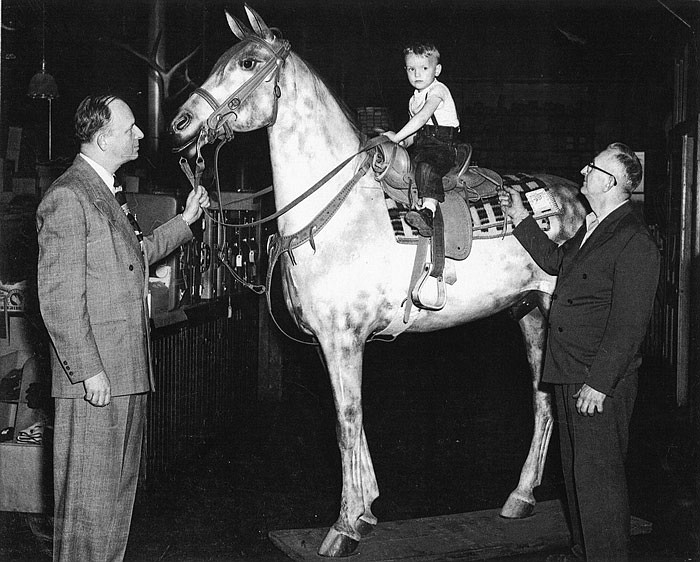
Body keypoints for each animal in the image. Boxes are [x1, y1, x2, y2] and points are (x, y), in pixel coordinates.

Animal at [172, 5, 588, 556]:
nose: (180, 123)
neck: (340, 213)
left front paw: (344, 526)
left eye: (247, 62)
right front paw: (366, 509)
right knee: (542, 404)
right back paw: (519, 498)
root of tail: (578, 199)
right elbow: (351, 419)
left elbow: (346, 421)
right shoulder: (334, 343)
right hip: (530, 314)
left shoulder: (343, 339)